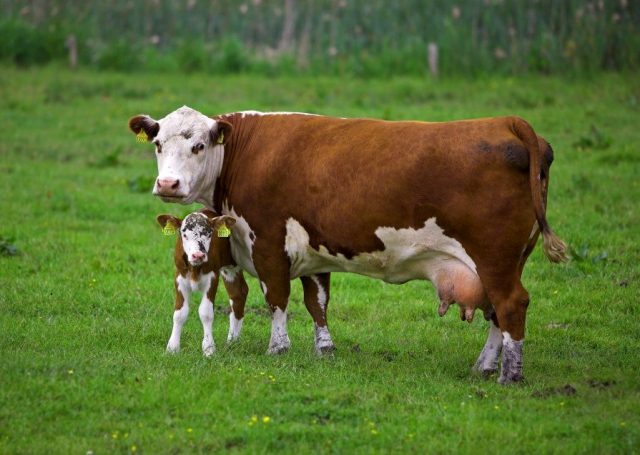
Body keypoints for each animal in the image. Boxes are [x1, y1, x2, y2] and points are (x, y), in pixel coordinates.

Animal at [157, 210, 248, 356]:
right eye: (183, 233)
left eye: (209, 233)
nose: (198, 255)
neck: (195, 269)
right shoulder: (179, 278)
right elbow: (179, 313)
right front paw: (172, 348)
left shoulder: (212, 278)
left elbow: (206, 313)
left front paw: (208, 348)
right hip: (230, 270)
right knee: (238, 294)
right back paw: (232, 342)